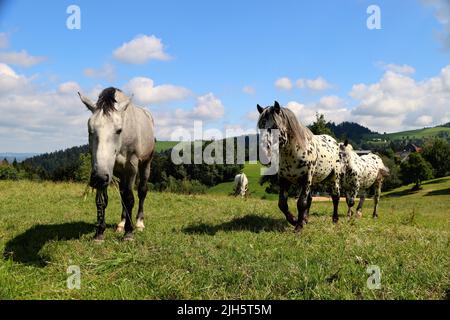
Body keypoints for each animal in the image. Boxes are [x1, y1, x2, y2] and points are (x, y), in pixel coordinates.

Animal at [77, 86, 155, 241]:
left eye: (119, 130)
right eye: (90, 130)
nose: (99, 177)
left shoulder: (131, 167)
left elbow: (130, 198)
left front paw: (129, 233)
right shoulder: (103, 169)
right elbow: (102, 200)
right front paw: (99, 233)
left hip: (145, 164)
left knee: (141, 191)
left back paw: (139, 223)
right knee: (122, 193)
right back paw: (121, 223)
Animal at [256, 101, 342, 231]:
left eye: (275, 126)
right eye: (260, 126)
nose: (264, 153)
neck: (294, 152)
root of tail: (334, 141)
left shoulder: (306, 179)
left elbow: (301, 203)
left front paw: (298, 226)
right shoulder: (284, 180)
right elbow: (282, 204)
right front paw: (294, 220)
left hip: (333, 178)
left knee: (335, 197)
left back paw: (335, 220)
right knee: (310, 199)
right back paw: (305, 219)